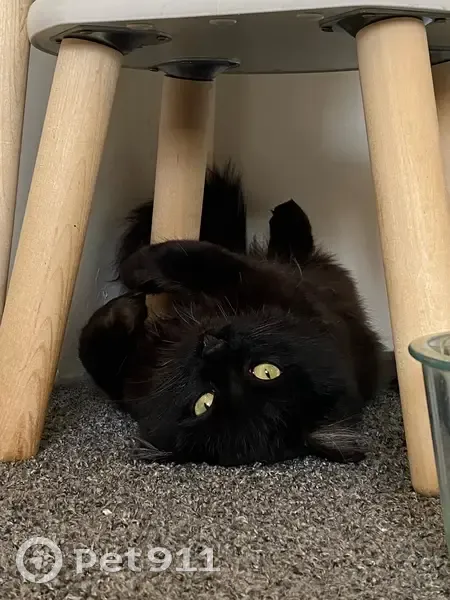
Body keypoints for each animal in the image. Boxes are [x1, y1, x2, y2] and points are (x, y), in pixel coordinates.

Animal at [79, 164, 384, 466]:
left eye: (204, 403)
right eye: (267, 371)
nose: (212, 347)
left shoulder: (269, 283)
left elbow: (199, 260)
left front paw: (134, 272)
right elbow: (94, 354)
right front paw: (124, 308)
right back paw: (286, 212)